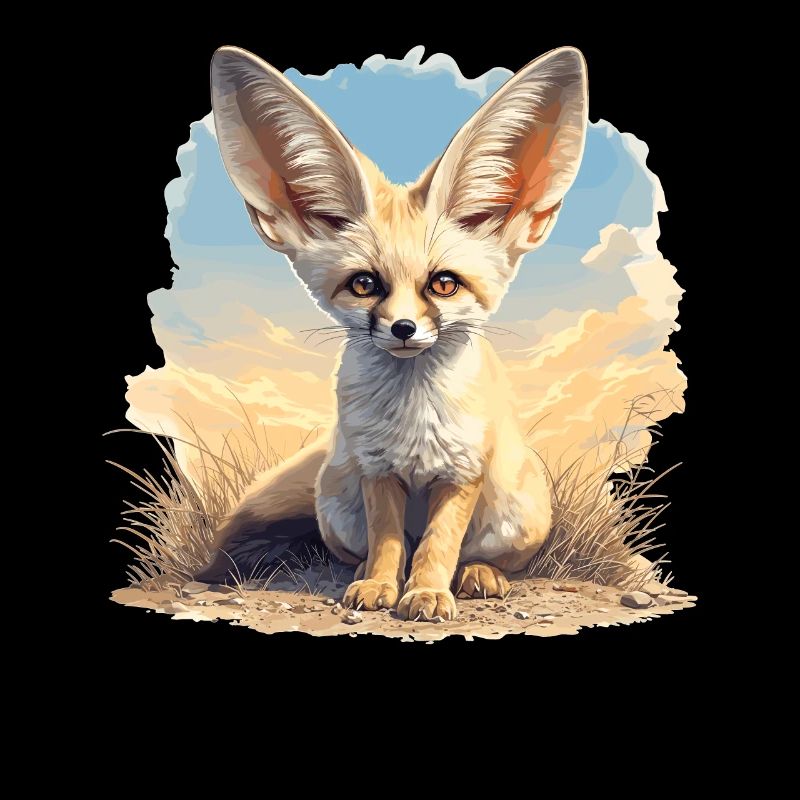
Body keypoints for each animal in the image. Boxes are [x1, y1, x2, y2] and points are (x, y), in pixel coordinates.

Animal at [196, 45, 588, 621]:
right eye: (364, 284)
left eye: (444, 284)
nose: (403, 328)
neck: (413, 419)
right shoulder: (376, 470)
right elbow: (389, 541)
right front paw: (381, 585)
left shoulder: (462, 472)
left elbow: (439, 544)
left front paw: (427, 592)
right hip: (336, 501)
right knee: (370, 545)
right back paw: (365, 571)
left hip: (518, 513)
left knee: (481, 554)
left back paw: (479, 574)